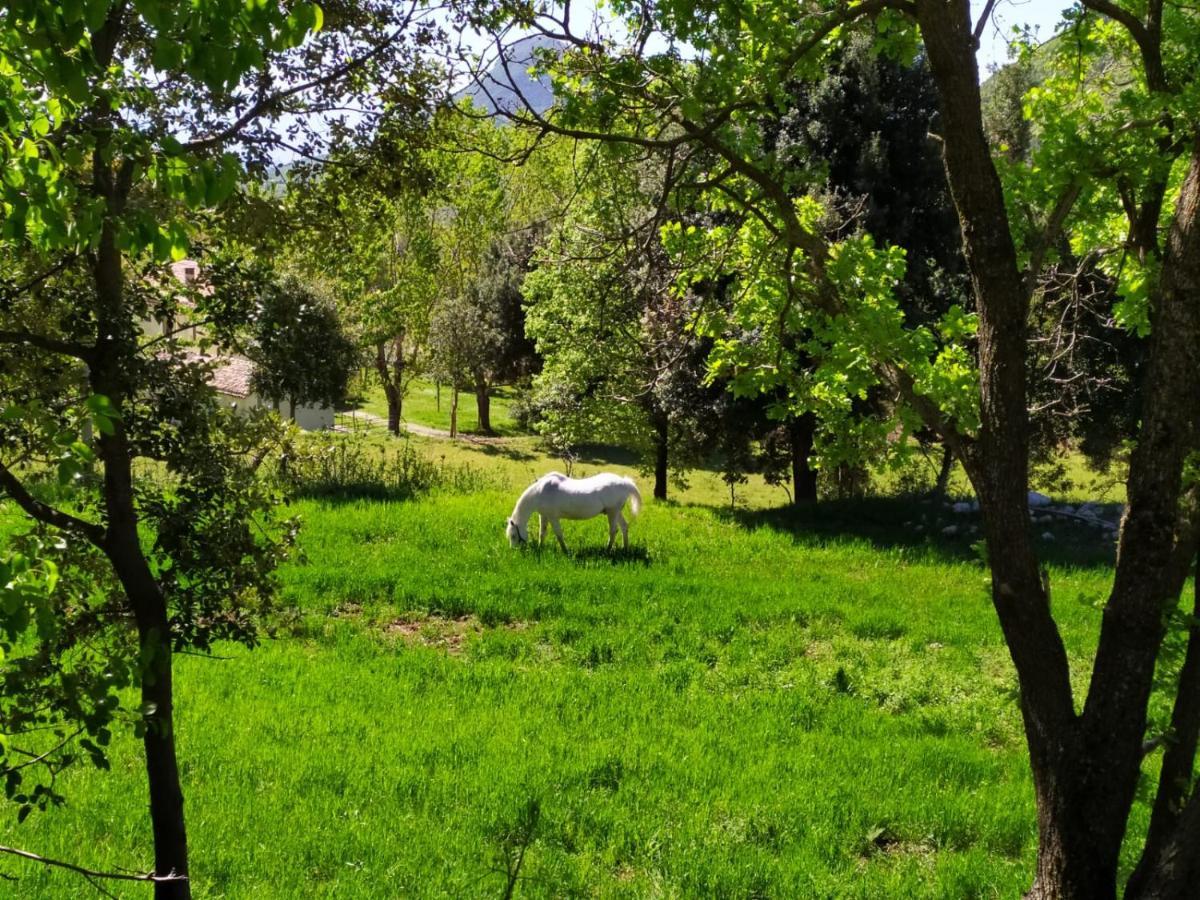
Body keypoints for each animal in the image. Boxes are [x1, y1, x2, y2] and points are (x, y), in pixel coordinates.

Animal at [504, 472, 643, 549]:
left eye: (513, 535)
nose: (513, 550)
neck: (540, 491)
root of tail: (624, 482)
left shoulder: (553, 517)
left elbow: (559, 534)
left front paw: (565, 551)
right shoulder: (544, 516)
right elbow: (542, 533)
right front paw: (540, 547)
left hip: (612, 512)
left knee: (613, 531)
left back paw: (607, 550)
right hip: (616, 512)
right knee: (624, 527)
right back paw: (625, 549)